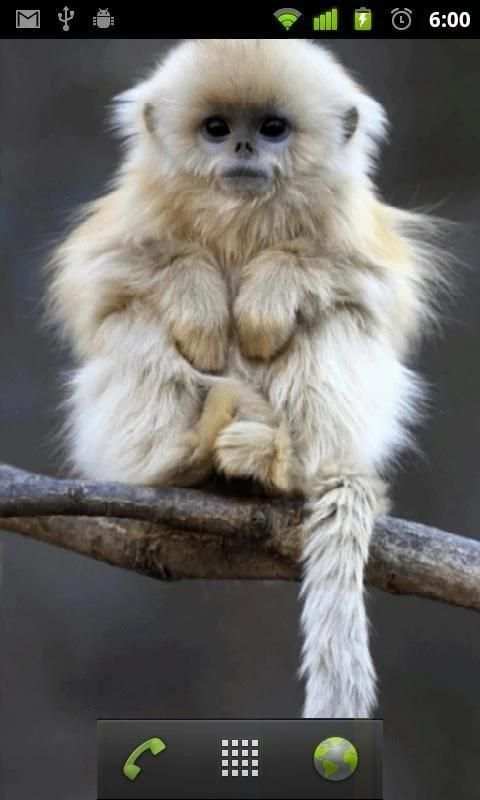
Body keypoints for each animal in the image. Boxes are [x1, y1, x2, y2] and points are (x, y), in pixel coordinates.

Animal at [48, 39, 446, 718]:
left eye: (272, 129)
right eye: (216, 128)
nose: (240, 148)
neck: (239, 215)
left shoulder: (354, 231)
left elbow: (367, 286)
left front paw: (267, 295)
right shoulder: (130, 217)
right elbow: (106, 279)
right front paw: (201, 300)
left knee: (335, 321)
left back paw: (278, 464)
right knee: (135, 322)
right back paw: (180, 459)